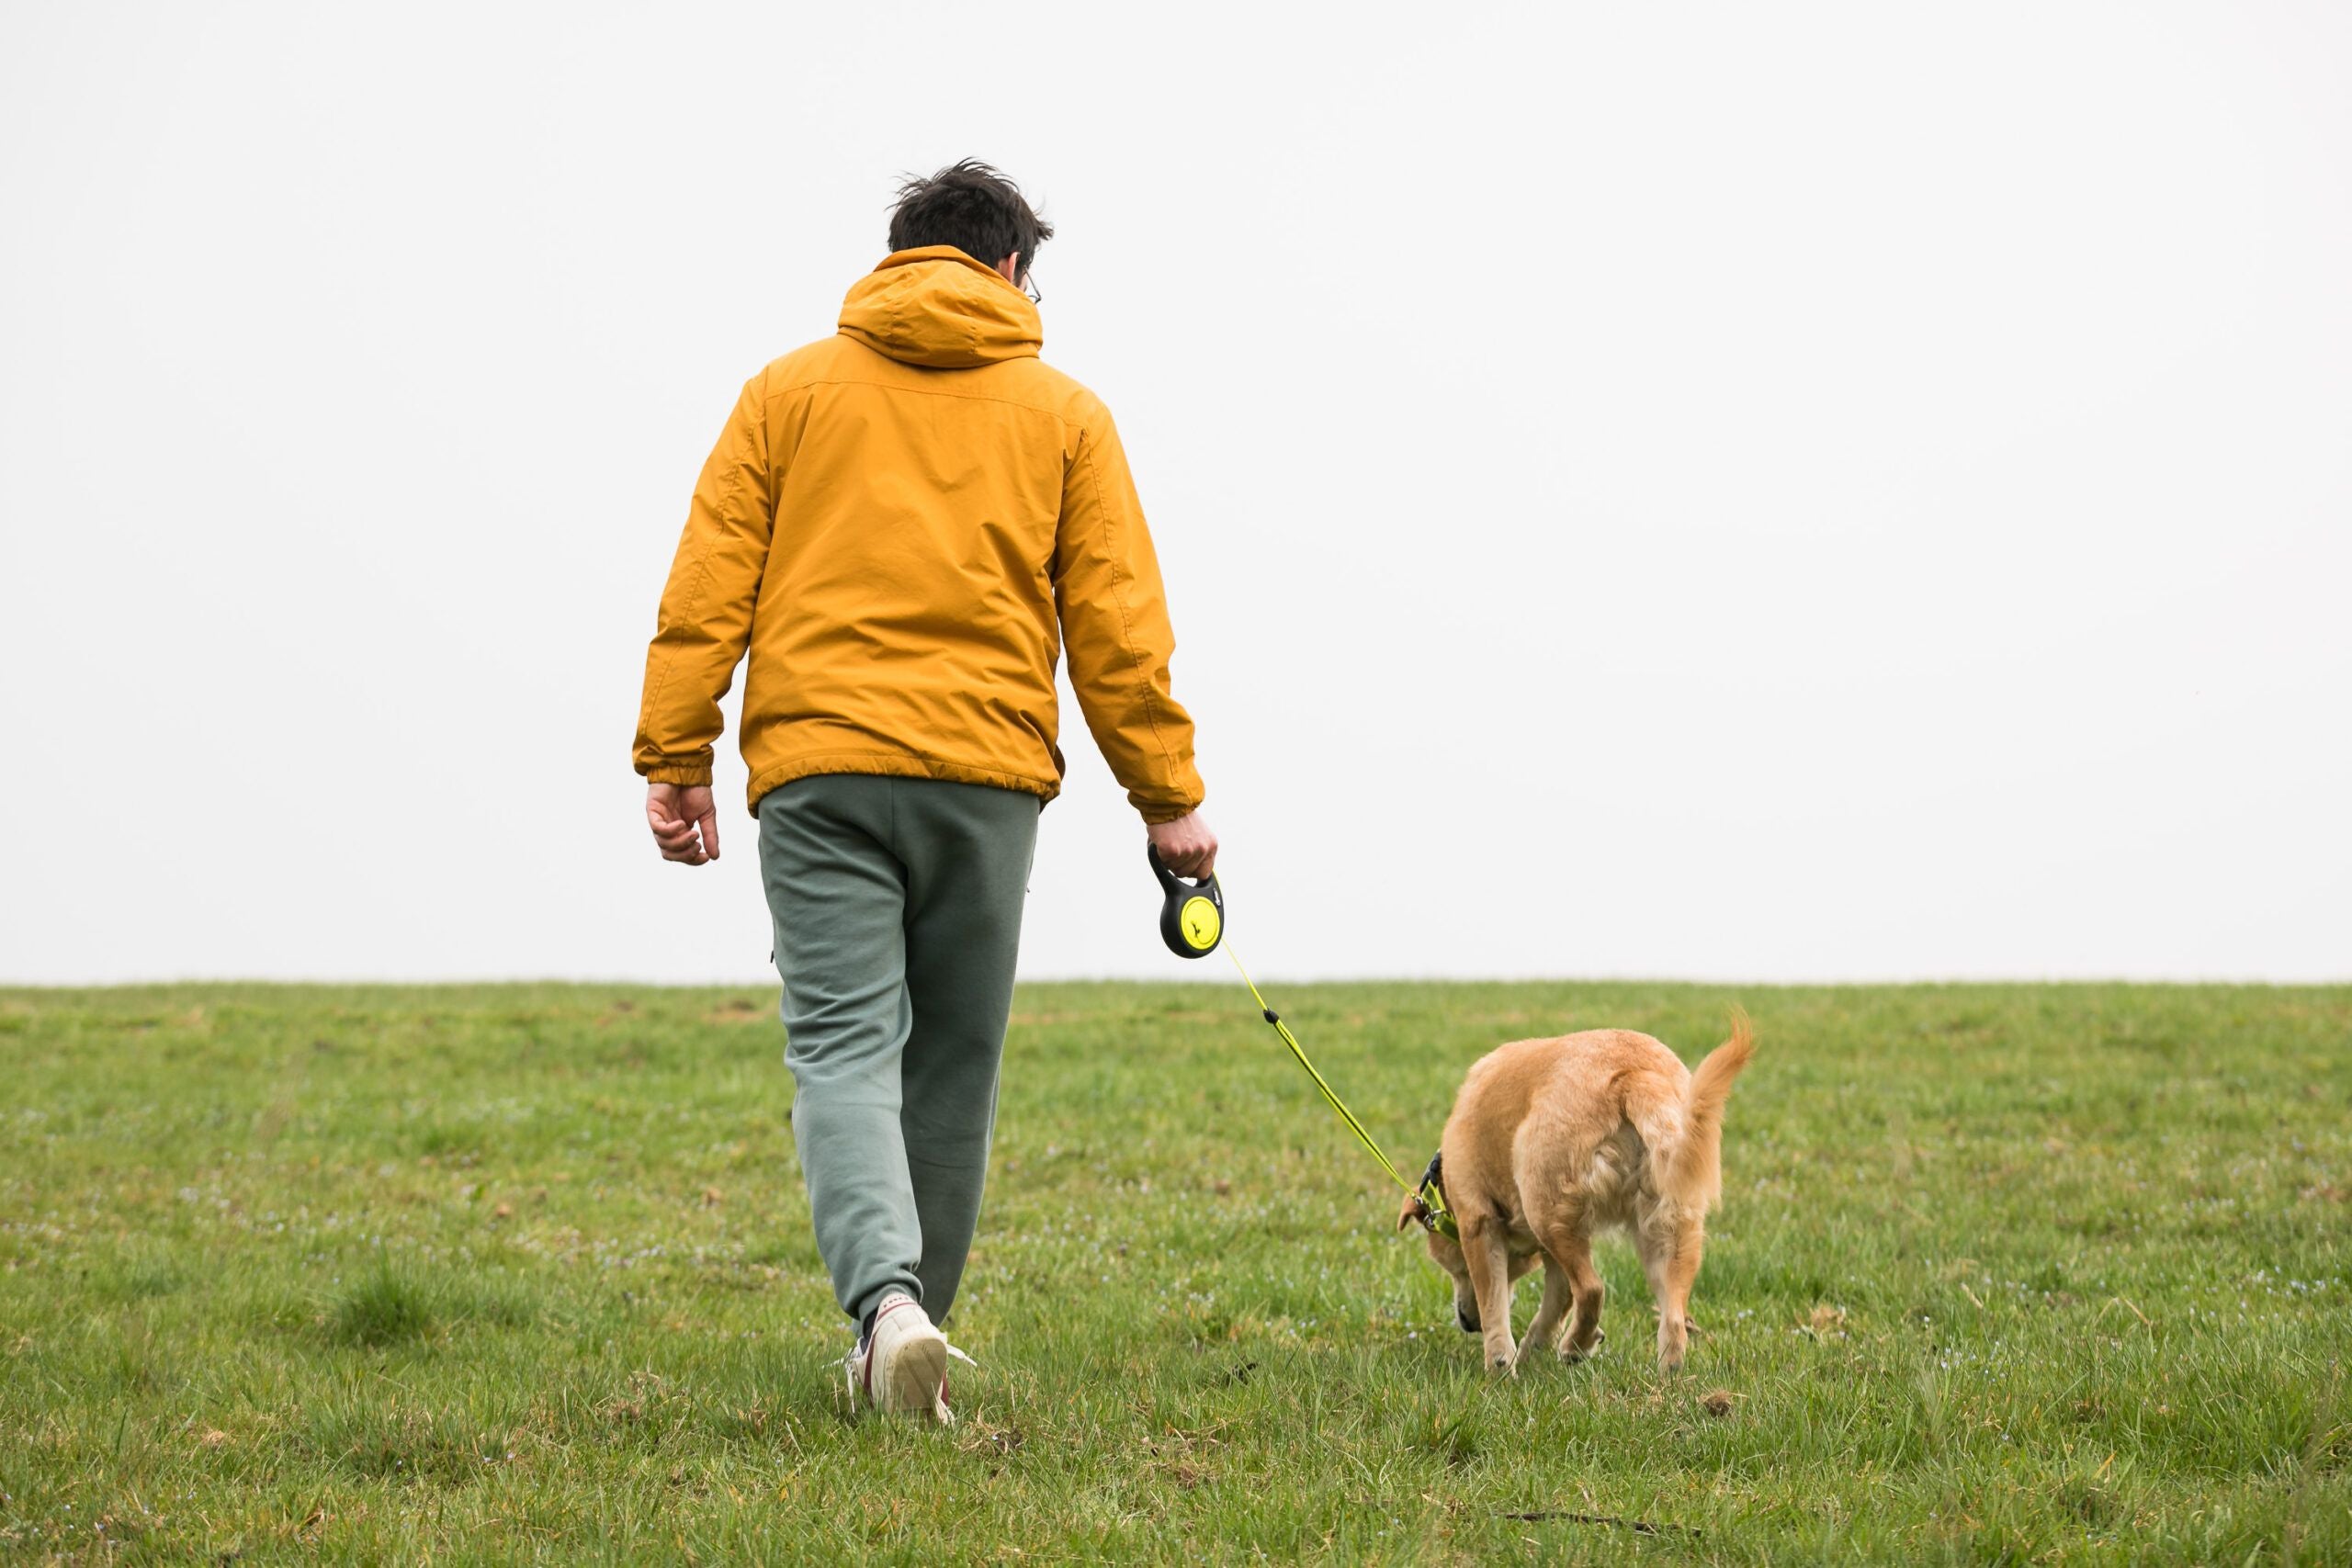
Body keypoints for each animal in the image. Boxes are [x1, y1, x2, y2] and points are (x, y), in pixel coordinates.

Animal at [1392, 1020, 1749, 1372]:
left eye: (1454, 1269)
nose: (1469, 1323)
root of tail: (1634, 1074)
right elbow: (1557, 1299)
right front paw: (1535, 1344)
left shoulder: (1479, 1223)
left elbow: (1496, 1305)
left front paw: (1500, 1363)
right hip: (1670, 1227)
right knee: (1672, 1317)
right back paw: (1665, 1372)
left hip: (1546, 1209)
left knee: (1592, 1289)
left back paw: (1575, 1347)